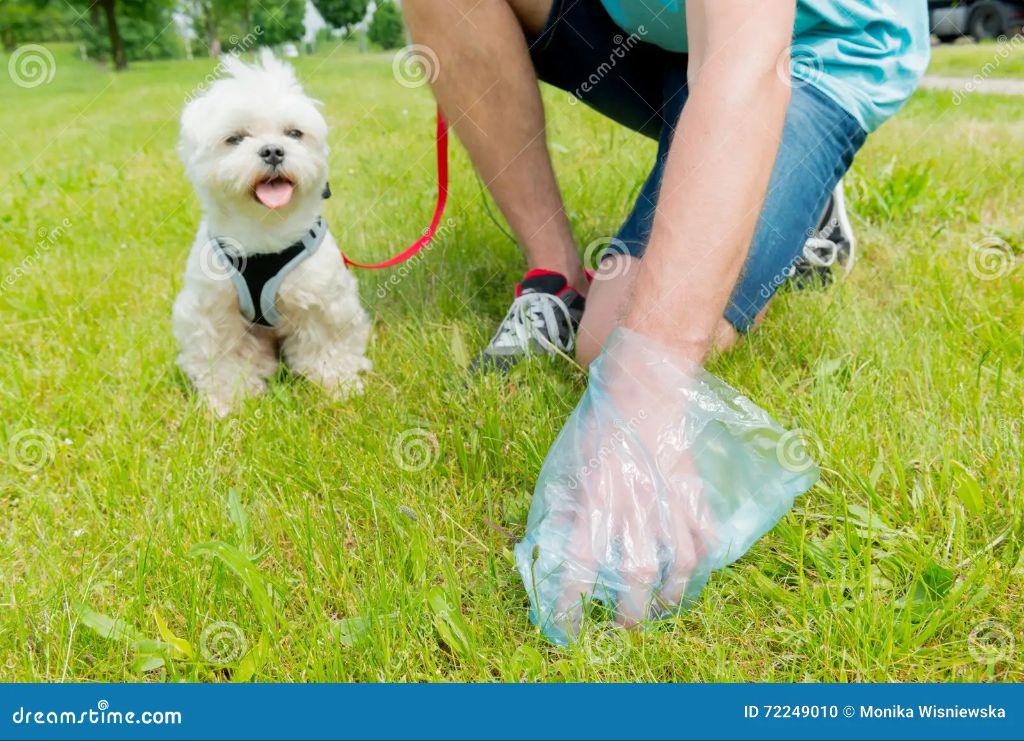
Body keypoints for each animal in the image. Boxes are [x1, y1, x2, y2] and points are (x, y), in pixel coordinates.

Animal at [174, 50, 370, 417]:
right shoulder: (212, 311)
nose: (273, 150)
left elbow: (328, 347)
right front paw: (226, 402)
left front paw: (339, 386)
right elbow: (223, 360)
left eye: (293, 133)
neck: (264, 232)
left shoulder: (323, 300)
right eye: (235, 138)